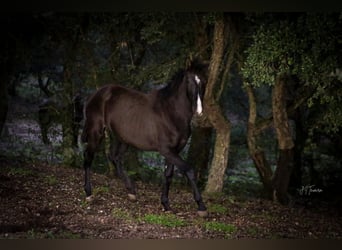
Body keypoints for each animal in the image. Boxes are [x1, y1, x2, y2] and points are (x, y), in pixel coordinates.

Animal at [81, 61, 208, 217]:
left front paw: (166, 204)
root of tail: (94, 95)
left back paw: (131, 192)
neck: (170, 112)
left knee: (114, 157)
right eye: (189, 82)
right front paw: (201, 207)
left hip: (121, 138)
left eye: (203, 82)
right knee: (88, 157)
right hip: (96, 132)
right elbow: (189, 170)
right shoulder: (166, 150)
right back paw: (89, 194)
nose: (199, 112)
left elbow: (168, 175)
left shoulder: (174, 150)